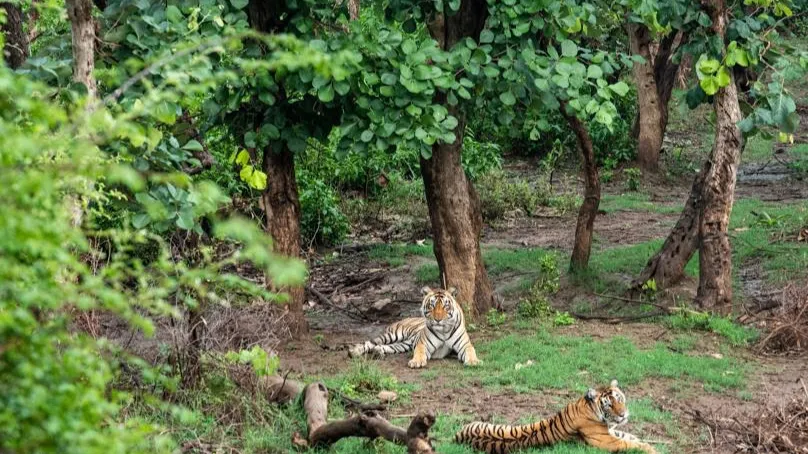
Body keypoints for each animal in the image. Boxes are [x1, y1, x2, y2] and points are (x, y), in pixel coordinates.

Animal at [348, 286, 480, 369]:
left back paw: (377, 352)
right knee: (370, 342)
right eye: (431, 305)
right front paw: (416, 362)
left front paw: (474, 361)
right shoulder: (423, 344)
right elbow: (419, 351)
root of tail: (402, 319)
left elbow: (471, 350)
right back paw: (354, 351)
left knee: (385, 346)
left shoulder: (465, 345)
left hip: (404, 344)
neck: (443, 331)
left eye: (445, 306)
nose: (438, 320)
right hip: (393, 335)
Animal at [454, 380, 657, 454]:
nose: (623, 414)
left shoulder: (612, 432)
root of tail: (457, 436)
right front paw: (651, 449)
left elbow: (632, 437)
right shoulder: (606, 441)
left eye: (620, 399)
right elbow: (632, 444)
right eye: (609, 405)